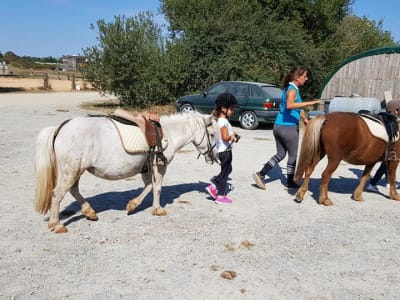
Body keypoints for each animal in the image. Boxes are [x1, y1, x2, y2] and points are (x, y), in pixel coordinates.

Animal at [35, 112, 219, 232]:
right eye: (212, 134)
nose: (214, 156)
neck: (169, 134)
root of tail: (61, 127)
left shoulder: (147, 168)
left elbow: (148, 186)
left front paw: (132, 205)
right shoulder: (160, 166)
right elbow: (157, 188)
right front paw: (157, 209)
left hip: (75, 171)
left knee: (73, 190)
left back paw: (90, 212)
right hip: (71, 171)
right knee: (57, 194)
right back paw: (57, 224)